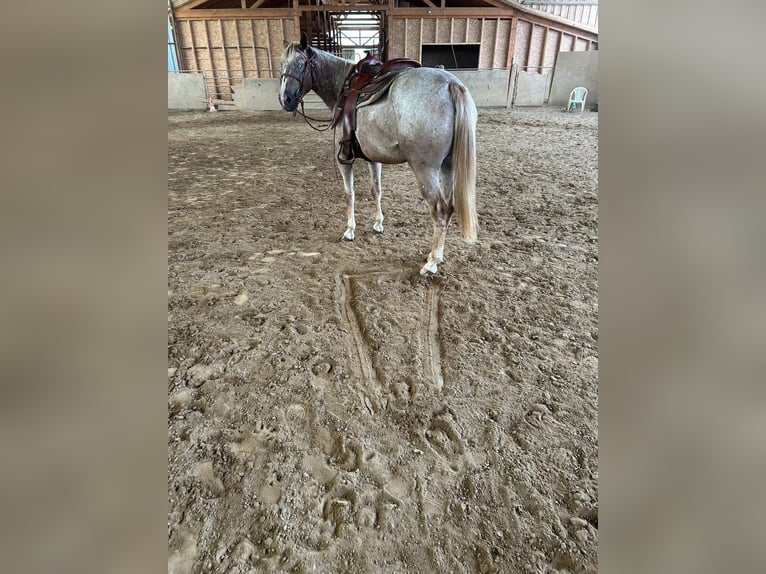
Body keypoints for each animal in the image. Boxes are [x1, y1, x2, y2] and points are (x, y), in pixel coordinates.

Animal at [278, 32, 478, 276]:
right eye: (282, 64)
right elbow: (376, 191)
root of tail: (451, 84)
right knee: (449, 207)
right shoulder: (374, 159)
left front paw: (349, 230)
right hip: (448, 166)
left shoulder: (344, 159)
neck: (342, 86)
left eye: (301, 64)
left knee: (439, 210)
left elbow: (349, 194)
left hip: (426, 170)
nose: (285, 99)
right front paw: (378, 224)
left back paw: (432, 262)